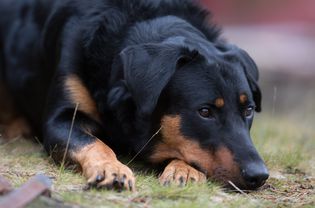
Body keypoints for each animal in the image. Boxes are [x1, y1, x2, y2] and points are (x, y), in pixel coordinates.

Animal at [0, 0, 270, 191]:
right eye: (205, 112)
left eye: (248, 110)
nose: (259, 175)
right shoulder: (61, 119)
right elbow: (92, 142)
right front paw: (111, 168)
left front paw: (185, 171)